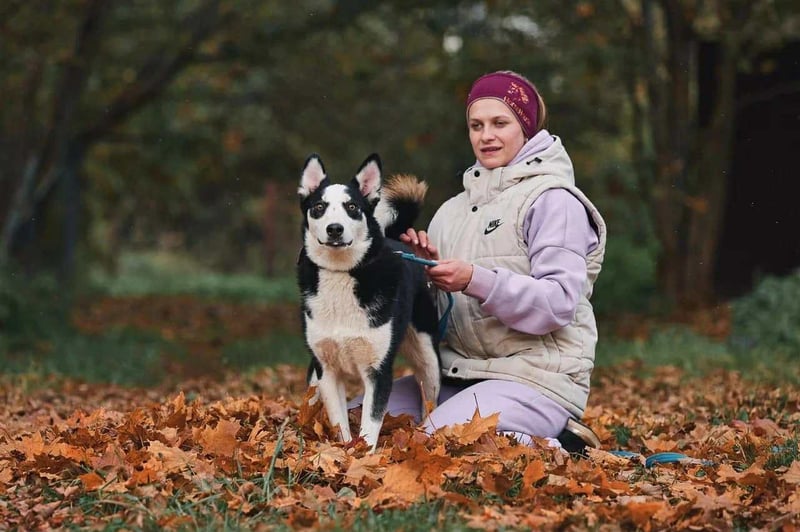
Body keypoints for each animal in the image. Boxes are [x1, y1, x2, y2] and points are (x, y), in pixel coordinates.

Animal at [297, 153, 441, 450]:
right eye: (319, 207)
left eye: (352, 206)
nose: (335, 229)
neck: (342, 273)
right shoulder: (326, 370)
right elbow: (339, 422)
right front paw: (345, 451)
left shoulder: (379, 371)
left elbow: (370, 424)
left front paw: (364, 455)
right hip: (315, 372)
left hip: (428, 358)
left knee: (429, 401)